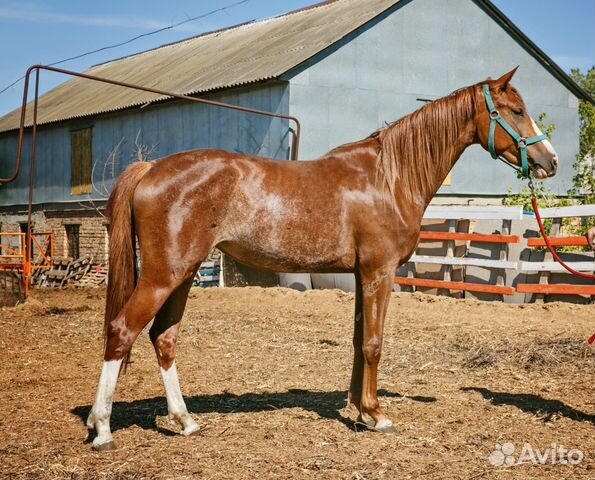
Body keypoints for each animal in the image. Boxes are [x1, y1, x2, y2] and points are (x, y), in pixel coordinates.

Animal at [87, 68, 560, 450]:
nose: (550, 161)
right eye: (516, 110)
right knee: (122, 330)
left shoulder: (361, 275)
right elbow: (374, 343)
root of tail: (151, 169)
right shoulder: (379, 273)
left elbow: (358, 340)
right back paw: (103, 428)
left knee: (163, 338)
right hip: (164, 274)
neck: (389, 177)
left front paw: (358, 409)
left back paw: (184, 421)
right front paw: (377, 415)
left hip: (182, 274)